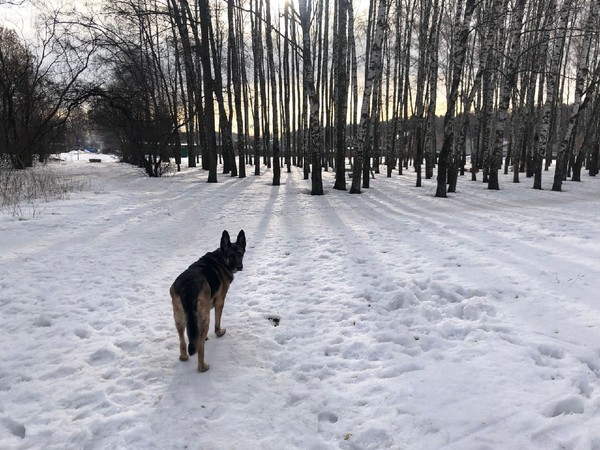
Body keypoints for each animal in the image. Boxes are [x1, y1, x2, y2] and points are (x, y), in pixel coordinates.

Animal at [169, 230, 246, 370]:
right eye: (230, 255)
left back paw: (184, 357)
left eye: (240, 253)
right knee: (200, 348)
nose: (239, 266)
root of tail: (188, 286)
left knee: (182, 341)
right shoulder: (220, 302)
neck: (221, 257)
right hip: (205, 318)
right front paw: (219, 333)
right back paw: (203, 367)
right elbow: (217, 323)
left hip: (179, 318)